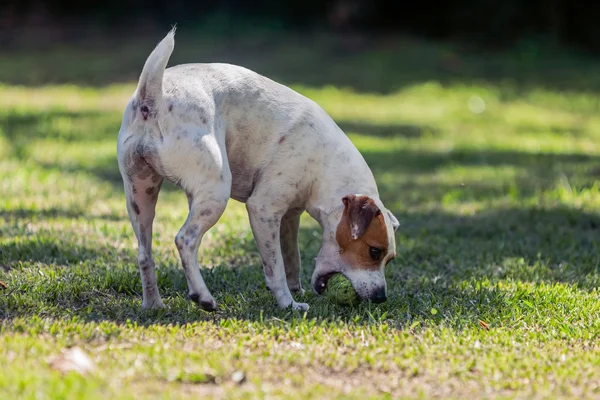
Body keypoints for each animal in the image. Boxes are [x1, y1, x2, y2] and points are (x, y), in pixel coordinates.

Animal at [116, 30, 398, 312]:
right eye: (374, 251)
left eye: (390, 259)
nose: (381, 297)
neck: (324, 165)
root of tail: (152, 97)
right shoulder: (263, 210)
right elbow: (276, 268)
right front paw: (288, 303)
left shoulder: (288, 217)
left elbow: (292, 258)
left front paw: (296, 291)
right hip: (216, 193)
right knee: (185, 240)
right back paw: (203, 296)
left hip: (141, 197)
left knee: (145, 254)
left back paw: (153, 304)